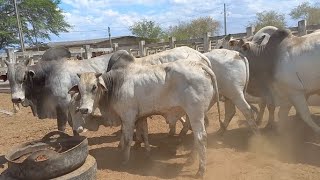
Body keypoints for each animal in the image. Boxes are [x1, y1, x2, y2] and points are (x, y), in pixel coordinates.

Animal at [69, 53, 221, 177]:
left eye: (94, 87)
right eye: (80, 89)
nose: (84, 109)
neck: (116, 84)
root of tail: (200, 65)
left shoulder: (128, 117)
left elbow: (127, 139)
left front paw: (125, 160)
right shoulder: (141, 117)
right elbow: (144, 134)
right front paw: (147, 153)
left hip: (195, 114)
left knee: (201, 137)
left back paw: (200, 170)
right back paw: (191, 160)